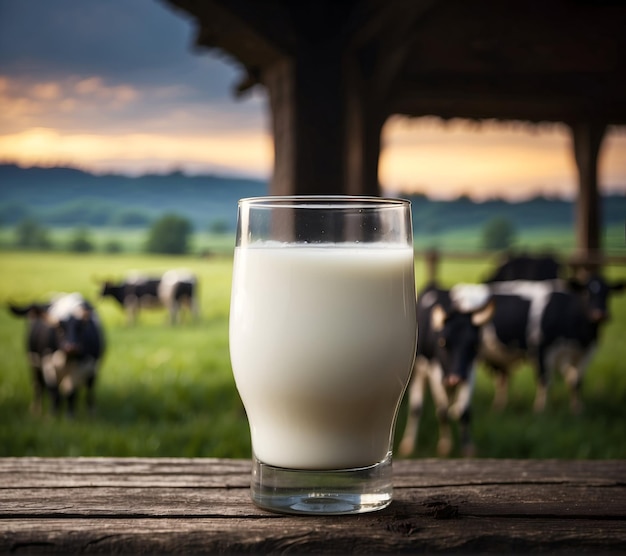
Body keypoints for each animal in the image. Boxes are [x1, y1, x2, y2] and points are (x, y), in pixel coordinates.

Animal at [398, 284, 494, 458]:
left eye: (474, 345)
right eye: (442, 342)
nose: (455, 378)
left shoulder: (469, 372)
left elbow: (464, 412)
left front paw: (467, 447)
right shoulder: (435, 371)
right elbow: (442, 411)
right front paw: (445, 445)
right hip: (418, 370)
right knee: (416, 408)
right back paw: (408, 443)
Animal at [480, 274, 620, 412]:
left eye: (608, 293)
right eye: (586, 292)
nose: (600, 314)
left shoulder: (586, 352)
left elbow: (576, 382)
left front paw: (578, 410)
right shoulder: (542, 349)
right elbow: (544, 380)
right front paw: (541, 410)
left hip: (498, 357)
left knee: (502, 379)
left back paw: (499, 407)